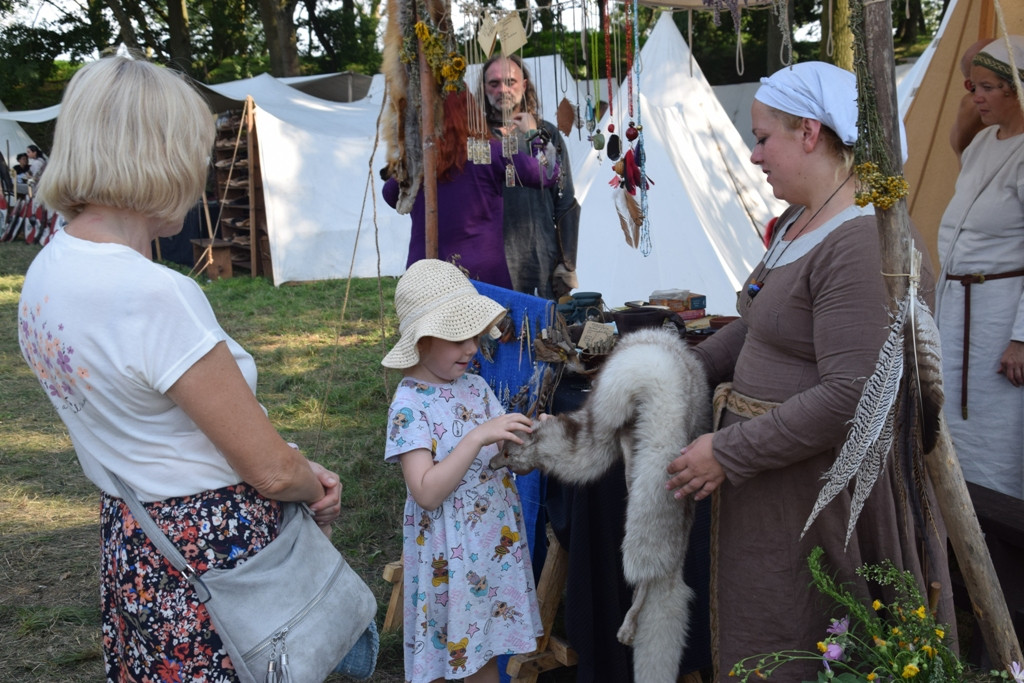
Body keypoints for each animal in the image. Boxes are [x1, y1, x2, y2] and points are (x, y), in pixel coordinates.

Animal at [489, 326, 712, 682]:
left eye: (507, 452)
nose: (491, 463)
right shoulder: (616, 437)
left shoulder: (604, 431)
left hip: (648, 491)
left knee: (644, 569)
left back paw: (629, 624)